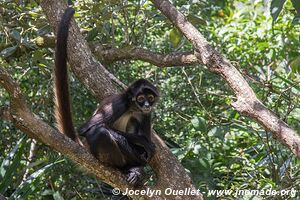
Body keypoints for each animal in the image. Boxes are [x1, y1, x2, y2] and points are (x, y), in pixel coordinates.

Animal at [53, 7, 158, 186]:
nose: (146, 105)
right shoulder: (118, 104)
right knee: (100, 132)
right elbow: (86, 129)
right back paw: (129, 167)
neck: (131, 107)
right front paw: (141, 143)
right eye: (140, 98)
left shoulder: (146, 114)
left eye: (150, 98)